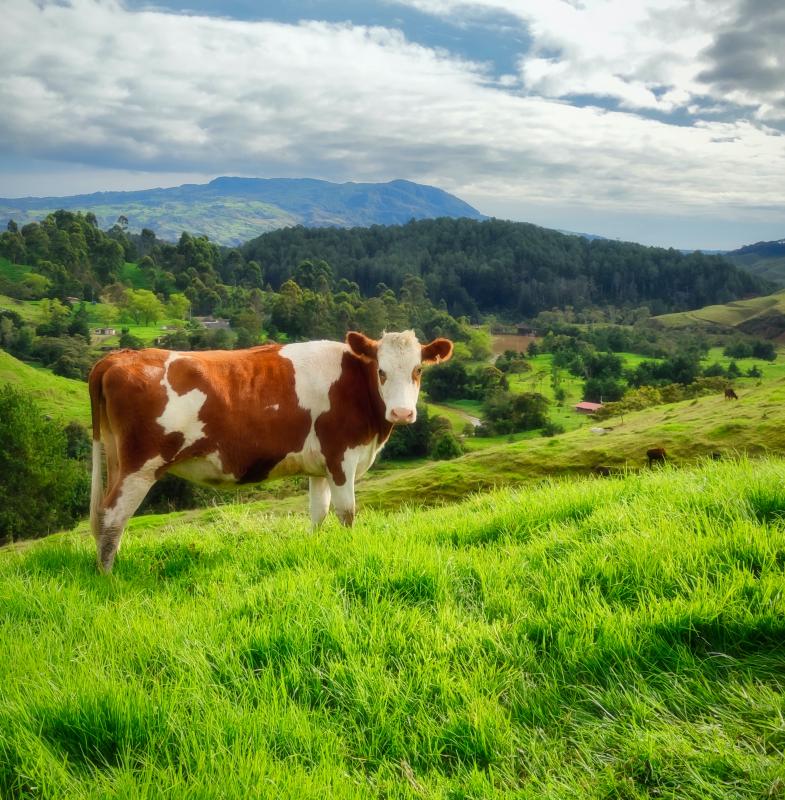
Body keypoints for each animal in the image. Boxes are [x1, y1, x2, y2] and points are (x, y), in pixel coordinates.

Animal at [89, 328, 454, 572]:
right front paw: (350, 551)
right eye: (381, 371)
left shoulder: (319, 466)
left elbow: (318, 512)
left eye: (418, 370)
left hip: (116, 458)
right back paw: (109, 576)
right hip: (140, 465)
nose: (402, 413)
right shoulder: (341, 457)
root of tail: (120, 356)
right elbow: (346, 513)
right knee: (112, 516)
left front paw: (315, 548)